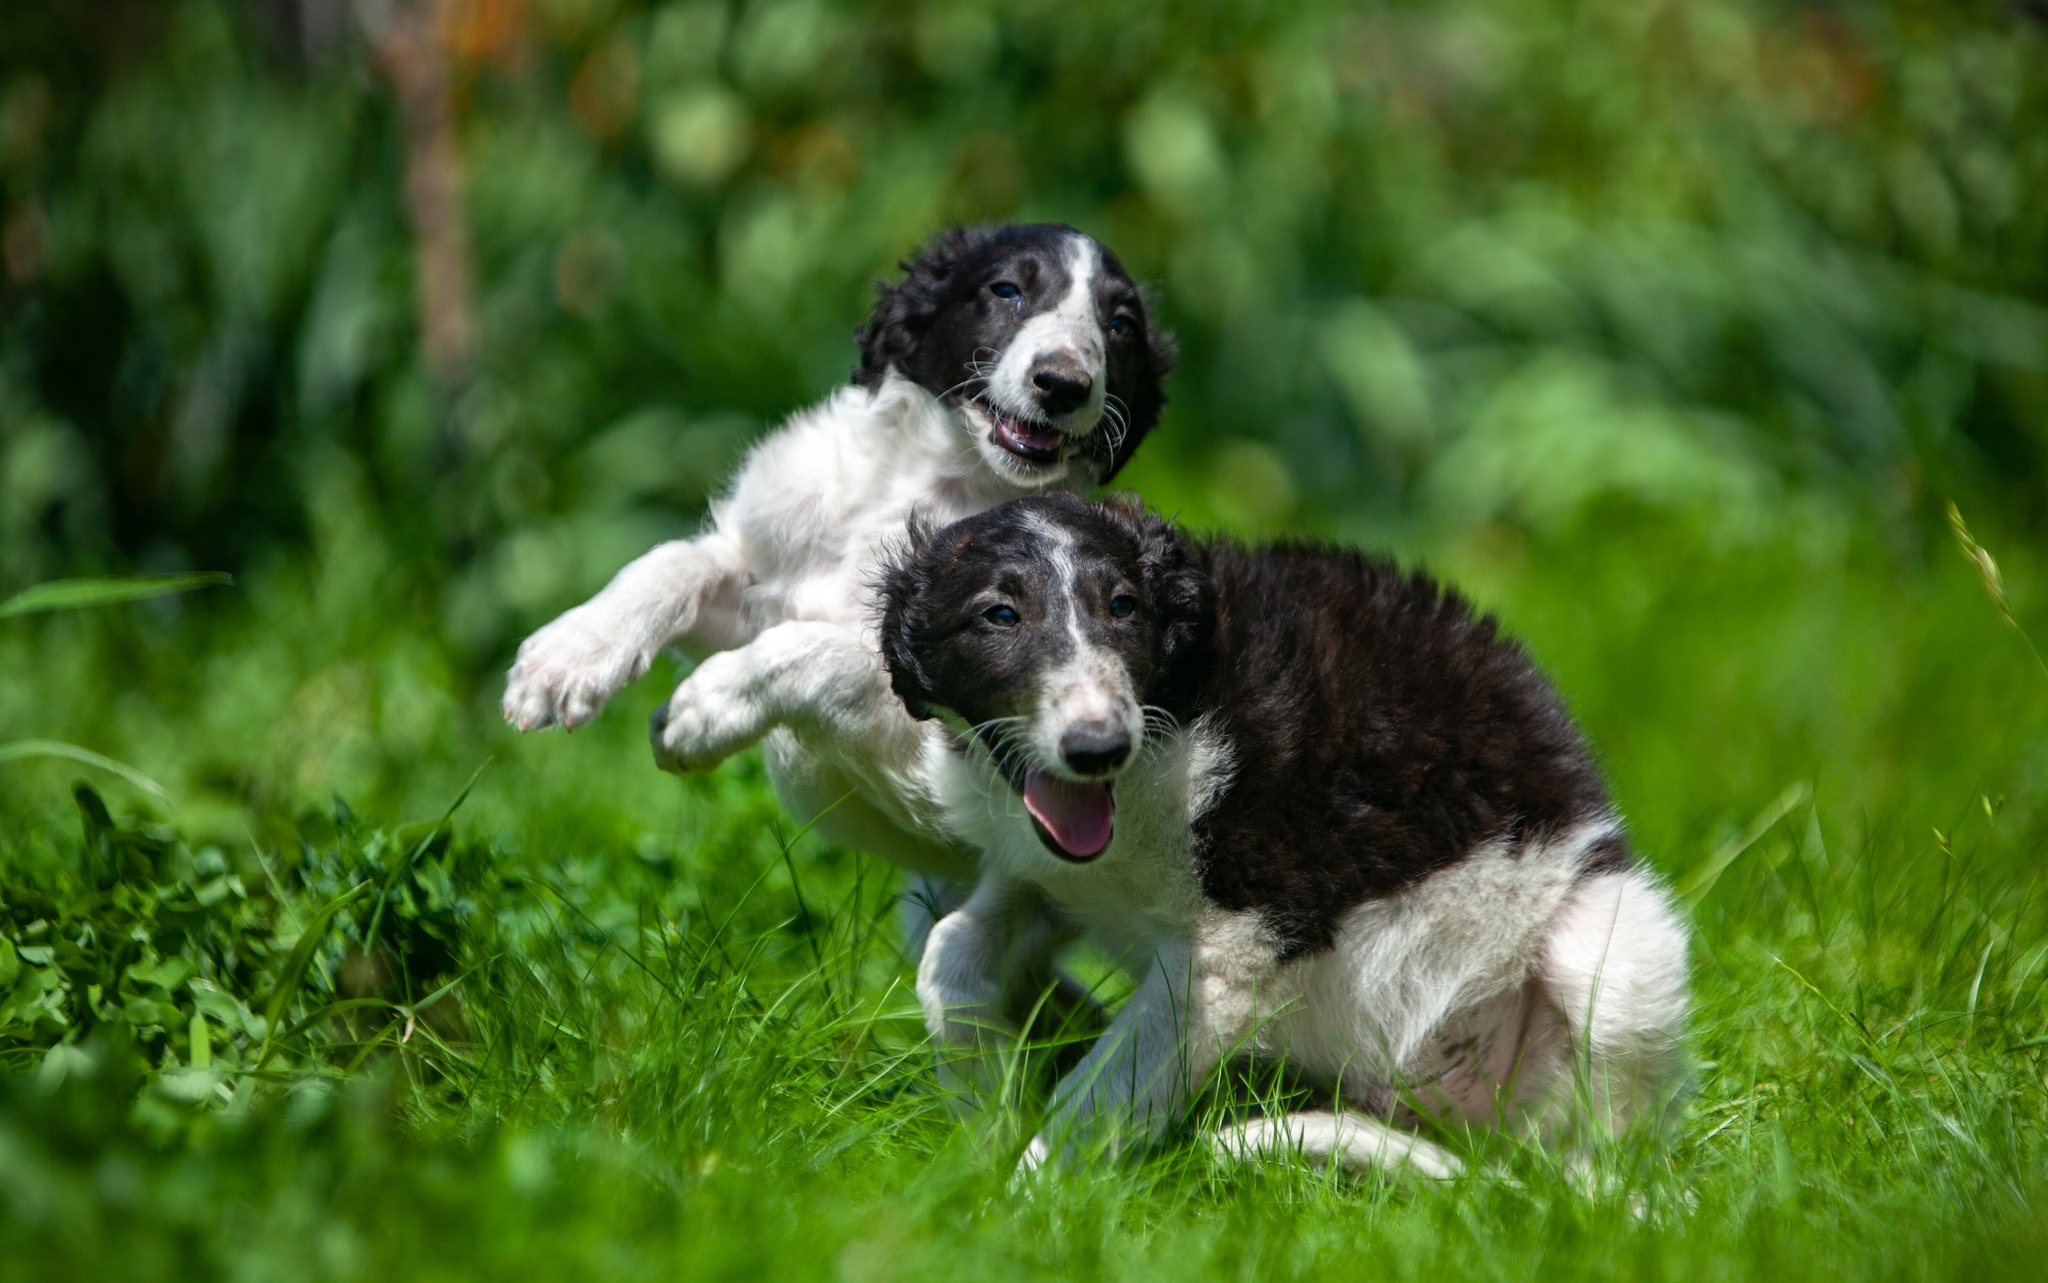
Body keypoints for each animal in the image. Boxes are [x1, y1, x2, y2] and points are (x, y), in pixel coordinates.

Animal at [499, 224, 1171, 934]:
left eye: (1121, 324)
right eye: (1007, 289)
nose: (1063, 383)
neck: (936, 487)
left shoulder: (948, 763)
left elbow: (828, 654)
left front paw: (703, 710)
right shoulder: (768, 574)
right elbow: (674, 562)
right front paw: (569, 656)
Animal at [872, 491, 1687, 1172]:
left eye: (1123, 605)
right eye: (999, 615)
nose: (1097, 746)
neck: (1177, 712)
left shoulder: (1231, 948)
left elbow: (1096, 1093)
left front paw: (1021, 1200)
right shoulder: (1049, 873)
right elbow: (945, 949)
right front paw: (983, 1103)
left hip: (1609, 956)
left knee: (1603, 1161)